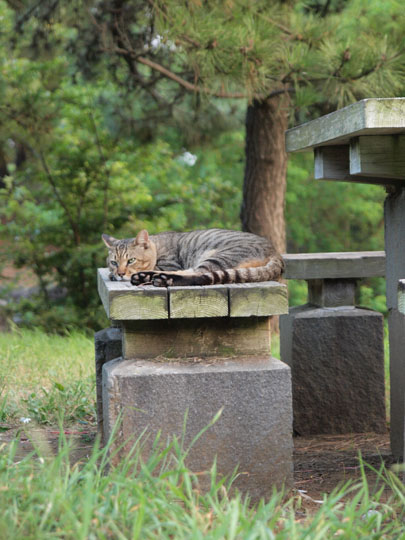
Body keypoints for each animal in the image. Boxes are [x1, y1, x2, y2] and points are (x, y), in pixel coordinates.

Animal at [102, 228, 284, 286]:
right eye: (114, 262)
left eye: (131, 260)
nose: (120, 273)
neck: (157, 246)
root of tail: (275, 252)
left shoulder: (170, 264)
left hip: (217, 256)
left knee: (197, 275)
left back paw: (155, 278)